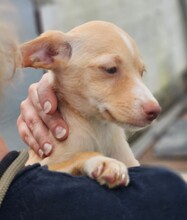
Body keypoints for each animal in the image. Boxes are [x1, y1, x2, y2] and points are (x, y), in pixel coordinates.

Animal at [20, 20, 161, 188]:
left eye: (142, 73)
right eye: (110, 69)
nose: (156, 111)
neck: (98, 127)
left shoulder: (131, 161)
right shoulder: (37, 166)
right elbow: (80, 155)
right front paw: (104, 162)